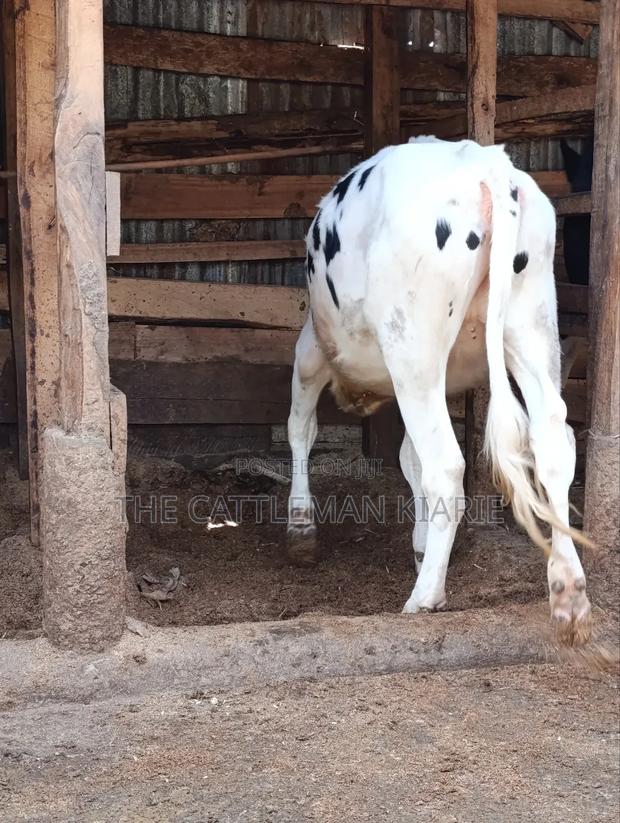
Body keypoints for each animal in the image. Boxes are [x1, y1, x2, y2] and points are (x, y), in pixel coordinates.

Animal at [286, 137, 592, 645]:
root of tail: (485, 164)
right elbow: (409, 458)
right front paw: (422, 542)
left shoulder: (312, 345)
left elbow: (300, 428)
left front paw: (301, 526)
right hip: (532, 325)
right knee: (554, 443)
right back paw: (568, 589)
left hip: (413, 344)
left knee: (447, 464)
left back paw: (425, 596)